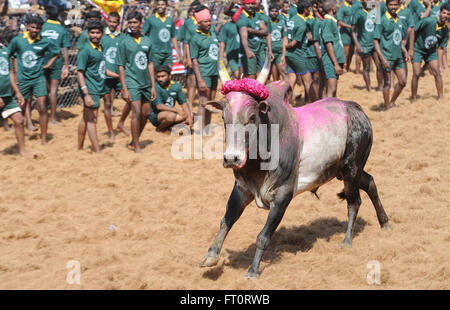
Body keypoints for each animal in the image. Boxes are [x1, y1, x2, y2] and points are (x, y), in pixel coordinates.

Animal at [200, 54, 390, 278]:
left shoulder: (283, 195)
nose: (232, 158)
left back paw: (347, 240)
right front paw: (211, 255)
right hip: (345, 170)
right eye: (223, 117)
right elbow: (227, 220)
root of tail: (356, 109)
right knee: (370, 182)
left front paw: (253, 270)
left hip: (351, 169)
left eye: (252, 116)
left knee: (354, 202)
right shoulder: (241, 189)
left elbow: (263, 235)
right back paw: (385, 223)